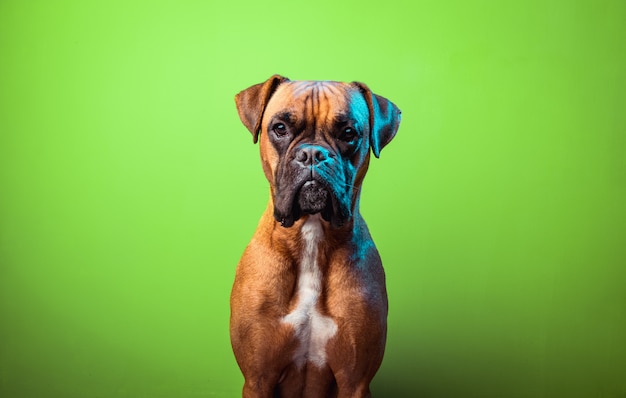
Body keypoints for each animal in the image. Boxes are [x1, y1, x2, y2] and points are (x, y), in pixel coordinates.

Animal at [229, 75, 400, 398]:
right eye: (280, 128)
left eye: (348, 133)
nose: (312, 153)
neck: (312, 236)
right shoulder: (258, 379)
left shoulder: (355, 382)